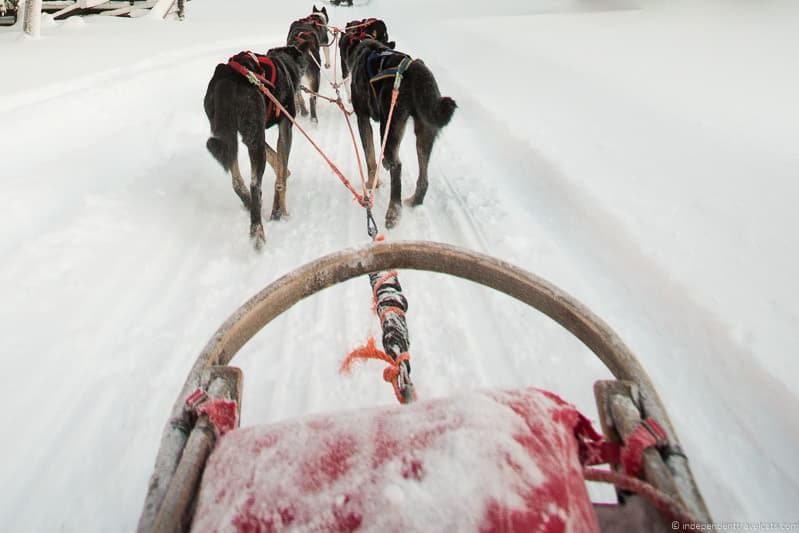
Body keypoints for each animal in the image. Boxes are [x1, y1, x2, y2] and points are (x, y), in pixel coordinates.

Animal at [205, 44, 310, 248]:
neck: (284, 63)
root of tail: (228, 77)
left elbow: (276, 159)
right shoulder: (285, 125)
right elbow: (280, 178)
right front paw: (280, 212)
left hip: (233, 134)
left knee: (236, 180)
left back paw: (248, 202)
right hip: (254, 136)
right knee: (255, 185)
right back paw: (257, 230)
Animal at [348, 39, 456, 227]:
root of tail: (415, 69)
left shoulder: (362, 118)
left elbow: (370, 157)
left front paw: (371, 182)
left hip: (389, 124)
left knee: (397, 166)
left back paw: (393, 210)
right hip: (424, 131)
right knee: (423, 178)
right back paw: (414, 200)